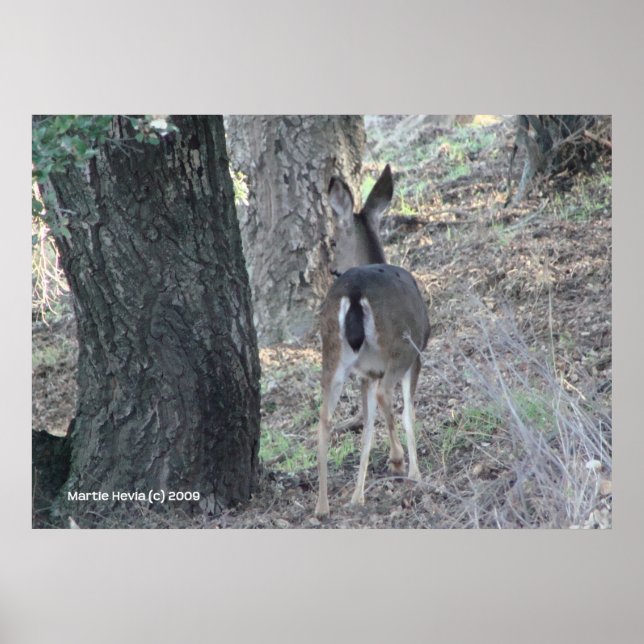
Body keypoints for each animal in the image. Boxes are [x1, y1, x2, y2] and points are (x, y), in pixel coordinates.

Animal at [315, 164, 430, 518]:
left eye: (333, 241)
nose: (333, 269)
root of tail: (353, 292)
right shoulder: (415, 358)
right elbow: (407, 413)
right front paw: (411, 470)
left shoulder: (365, 373)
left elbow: (366, 428)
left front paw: (357, 496)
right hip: (400, 347)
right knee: (386, 395)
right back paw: (401, 463)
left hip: (332, 353)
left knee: (323, 419)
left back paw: (322, 506)